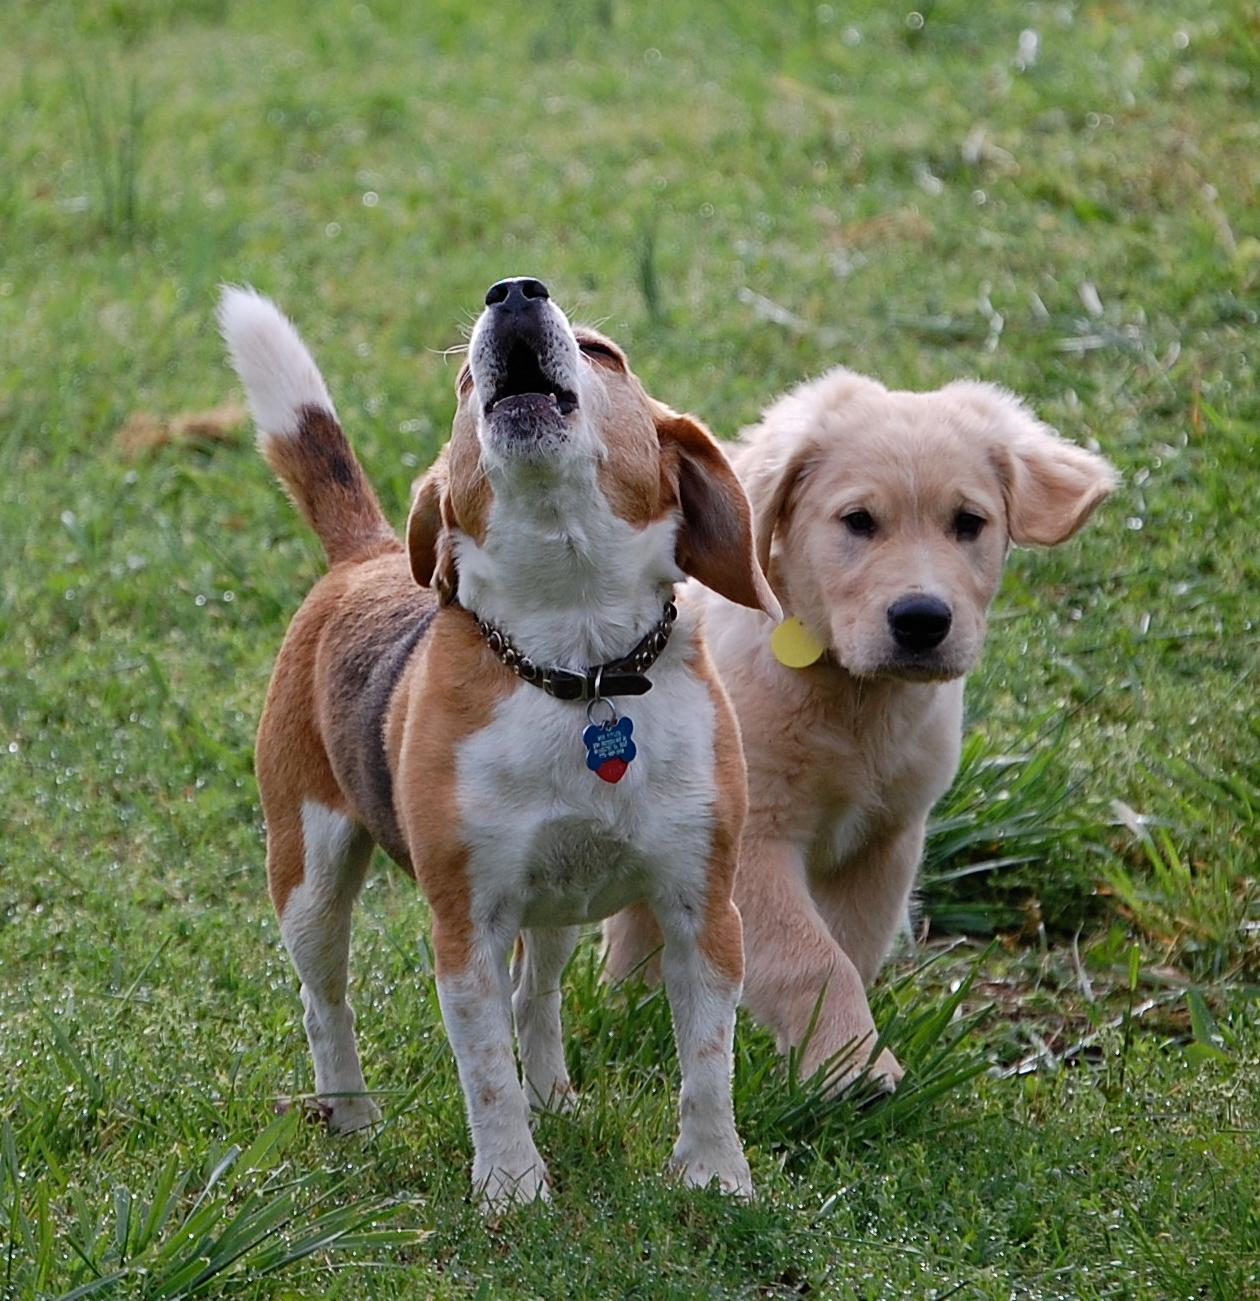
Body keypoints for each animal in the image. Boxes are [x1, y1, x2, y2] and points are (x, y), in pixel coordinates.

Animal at [221, 277, 780, 1207]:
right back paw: (352, 1114)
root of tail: (367, 554)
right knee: (324, 1000)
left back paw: (553, 1094)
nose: (514, 292)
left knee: (537, 994)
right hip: (307, 873)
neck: (579, 665)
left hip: (557, 902)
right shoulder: (466, 924)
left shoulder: (704, 905)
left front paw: (713, 1175)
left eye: (603, 353)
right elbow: (486, 1076)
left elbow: (708, 1064)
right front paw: (513, 1189)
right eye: (458, 387)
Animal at [606, 364, 1119, 1087]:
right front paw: (853, 1068)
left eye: (969, 523)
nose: (922, 620)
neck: (853, 695)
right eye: (858, 522)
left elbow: (850, 947)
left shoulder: (886, 840)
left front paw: (838, 1055)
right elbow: (812, 958)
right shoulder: (753, 837)